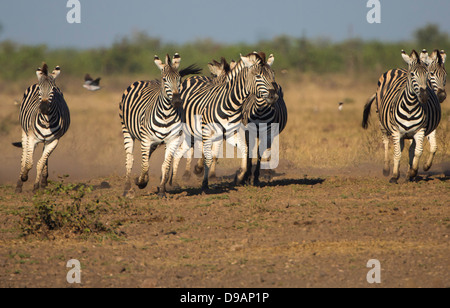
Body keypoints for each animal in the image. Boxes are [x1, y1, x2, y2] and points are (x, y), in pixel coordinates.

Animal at [14, 62, 70, 192]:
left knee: (43, 160)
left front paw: (36, 187)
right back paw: (19, 184)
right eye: (40, 89)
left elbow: (40, 163)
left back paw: (43, 182)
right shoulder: (32, 138)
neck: (46, 121)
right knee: (24, 156)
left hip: (46, 141)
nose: (44, 108)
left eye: (53, 89)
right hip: (25, 133)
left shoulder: (54, 141)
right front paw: (24, 177)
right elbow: (29, 163)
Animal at [118, 53, 200, 197]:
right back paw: (127, 188)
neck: (166, 114)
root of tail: (145, 80)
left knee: (146, 157)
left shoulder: (173, 140)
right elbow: (145, 165)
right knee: (130, 159)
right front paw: (141, 183)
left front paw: (161, 190)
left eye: (179, 79)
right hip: (127, 131)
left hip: (154, 142)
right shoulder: (146, 139)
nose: (177, 101)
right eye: (164, 79)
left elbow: (165, 165)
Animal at [172, 51, 278, 191]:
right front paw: (204, 183)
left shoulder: (229, 133)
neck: (230, 104)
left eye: (272, 75)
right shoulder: (207, 132)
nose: (274, 95)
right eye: (258, 76)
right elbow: (208, 157)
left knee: (181, 151)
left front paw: (240, 176)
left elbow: (244, 150)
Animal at [362, 50, 440, 183]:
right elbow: (397, 153)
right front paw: (394, 176)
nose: (424, 96)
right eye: (412, 74)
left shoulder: (420, 130)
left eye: (427, 74)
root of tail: (399, 69)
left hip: (409, 133)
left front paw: (412, 172)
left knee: (409, 148)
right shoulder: (395, 131)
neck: (410, 107)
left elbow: (418, 152)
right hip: (383, 124)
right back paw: (387, 169)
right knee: (386, 143)